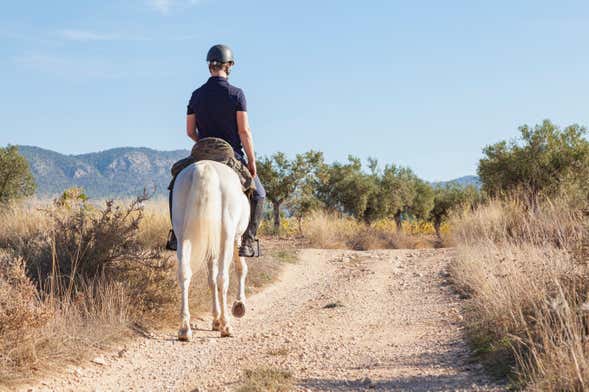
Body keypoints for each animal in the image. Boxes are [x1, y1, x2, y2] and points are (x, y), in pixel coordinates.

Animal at [172, 160, 250, 340]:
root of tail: (205, 167)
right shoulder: (237, 238)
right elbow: (240, 268)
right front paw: (239, 305)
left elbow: (211, 280)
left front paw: (215, 319)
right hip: (227, 235)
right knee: (223, 278)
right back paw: (226, 326)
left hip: (182, 235)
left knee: (184, 273)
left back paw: (184, 329)